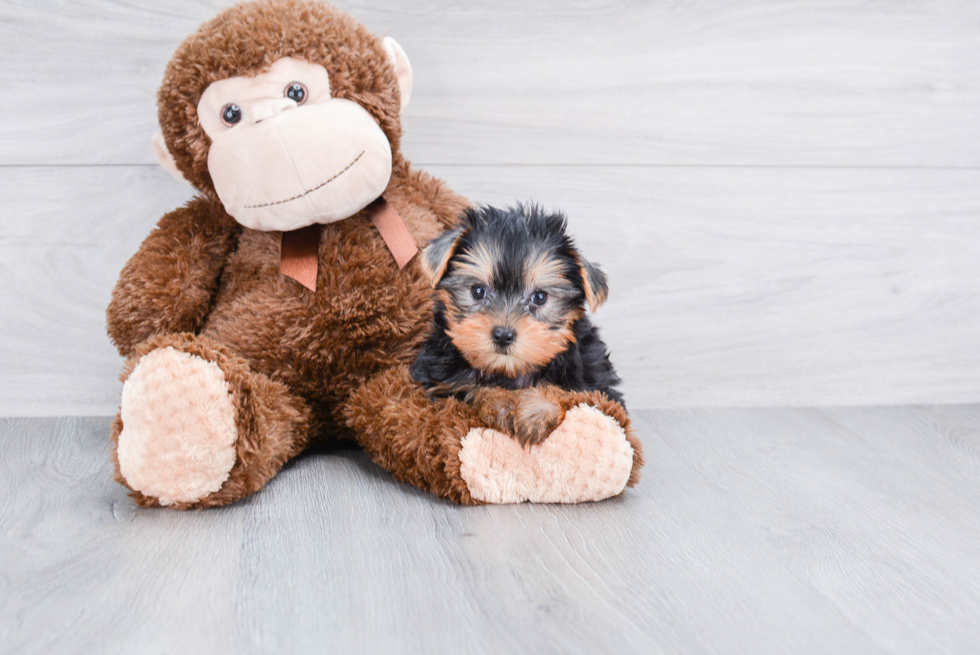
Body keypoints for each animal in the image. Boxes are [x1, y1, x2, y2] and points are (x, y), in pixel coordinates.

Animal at [410, 202, 624, 444]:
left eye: (540, 297)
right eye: (477, 291)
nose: (503, 335)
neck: (510, 373)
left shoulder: (595, 385)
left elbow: (568, 394)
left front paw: (536, 409)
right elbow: (477, 390)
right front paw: (505, 403)